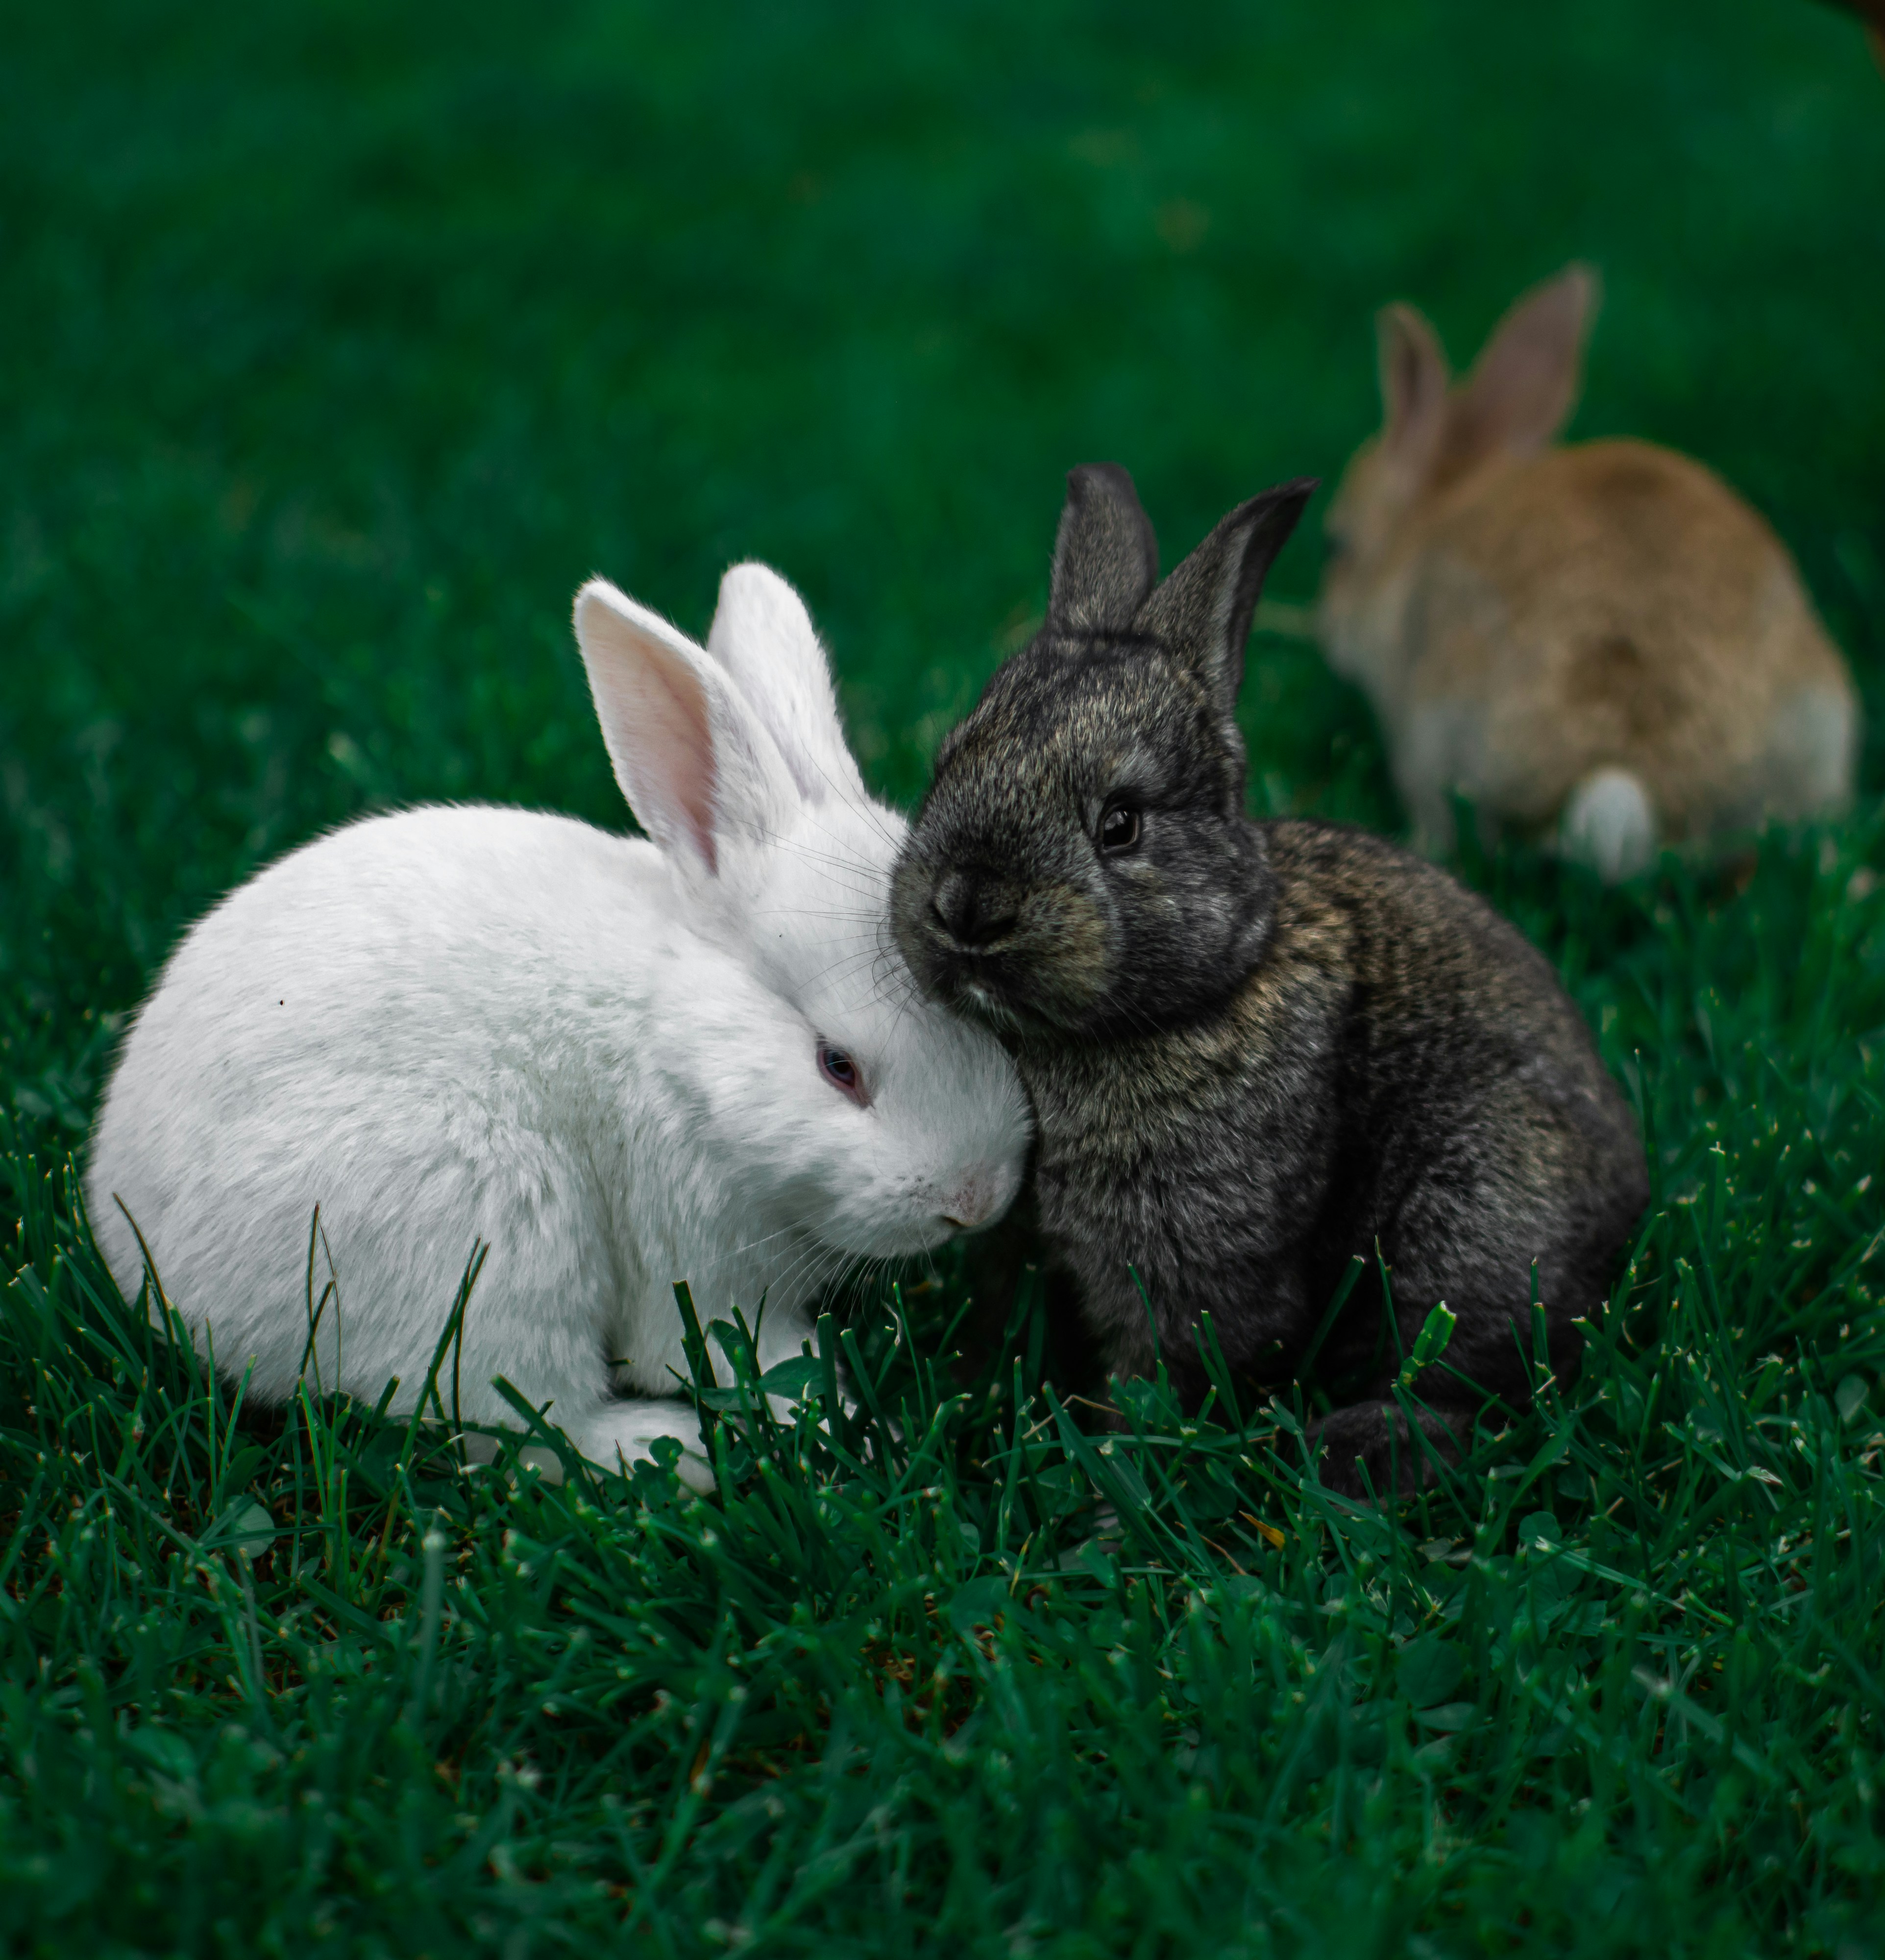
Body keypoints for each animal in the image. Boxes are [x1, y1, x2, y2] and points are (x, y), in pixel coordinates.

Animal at [84, 564, 1027, 1482]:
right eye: (837, 1066)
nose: (974, 1202)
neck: (684, 1049)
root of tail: (141, 1257)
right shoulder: (695, 1253)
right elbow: (742, 1355)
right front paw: (860, 1433)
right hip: (492, 1242)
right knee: (527, 1429)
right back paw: (671, 1452)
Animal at [889, 466, 1638, 1490]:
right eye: (947, 763)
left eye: (1120, 822)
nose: (966, 908)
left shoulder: (1185, 1261)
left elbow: (1166, 1369)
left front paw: (1116, 1481)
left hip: (1482, 1212)